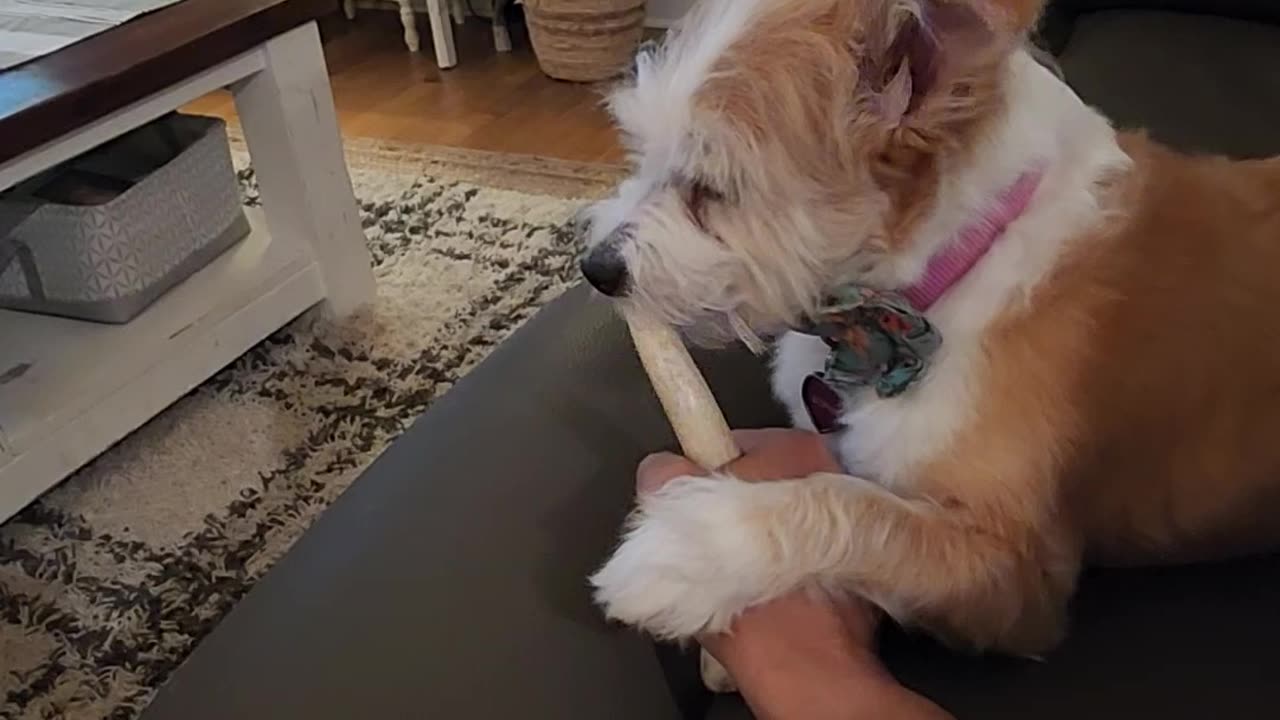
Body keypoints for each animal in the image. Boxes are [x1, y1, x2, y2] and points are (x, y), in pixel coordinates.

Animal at [578, 0, 1280, 655]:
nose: (594, 268)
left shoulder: (1018, 575)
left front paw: (692, 550)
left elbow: (856, 507)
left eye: (712, 188)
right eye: (642, 151)